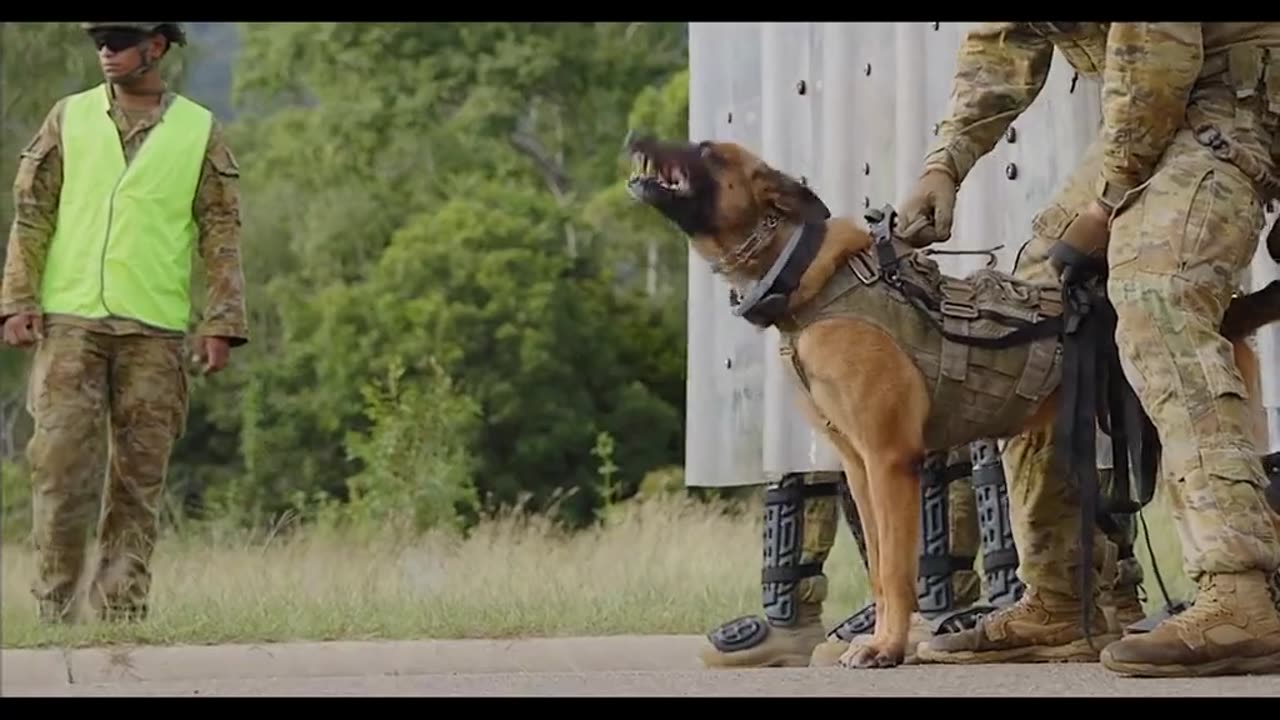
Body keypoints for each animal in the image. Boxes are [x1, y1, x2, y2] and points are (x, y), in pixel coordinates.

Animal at [624, 135, 1280, 666]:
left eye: (706, 149)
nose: (635, 137)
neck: (809, 275)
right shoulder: (860, 469)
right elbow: (879, 568)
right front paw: (880, 640)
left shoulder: (891, 462)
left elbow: (896, 567)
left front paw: (887, 649)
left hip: (1187, 426)